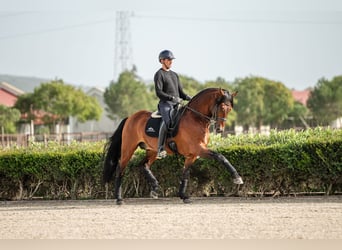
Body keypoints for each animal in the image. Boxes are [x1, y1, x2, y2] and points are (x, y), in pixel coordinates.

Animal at [101, 87, 243, 204]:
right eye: (222, 107)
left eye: (230, 109)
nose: (220, 129)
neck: (196, 119)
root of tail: (130, 118)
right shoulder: (198, 149)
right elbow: (220, 156)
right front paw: (237, 178)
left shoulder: (192, 155)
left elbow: (185, 174)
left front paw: (183, 196)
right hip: (128, 148)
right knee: (120, 168)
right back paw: (119, 199)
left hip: (152, 151)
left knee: (144, 165)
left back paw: (155, 188)